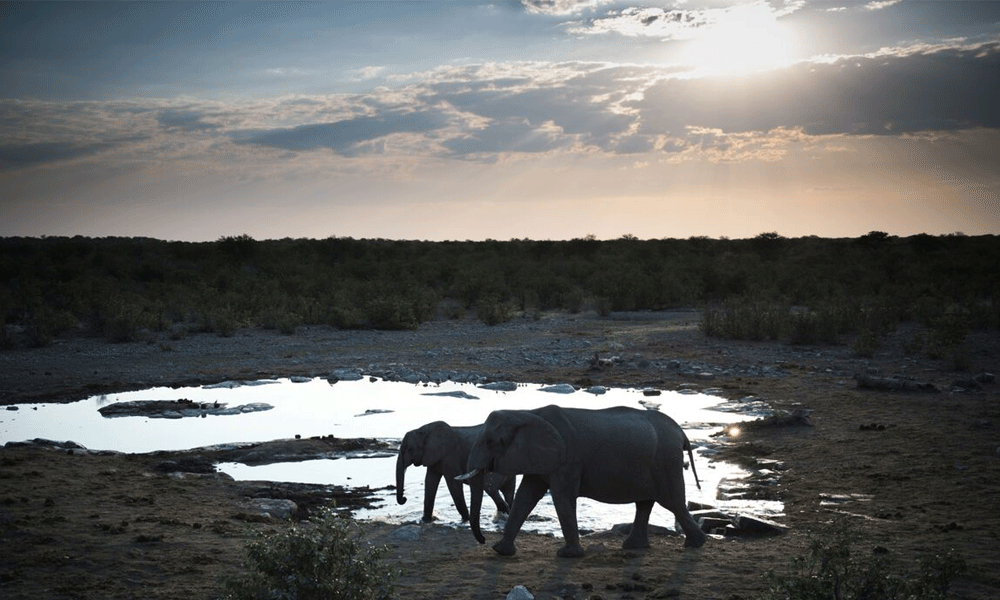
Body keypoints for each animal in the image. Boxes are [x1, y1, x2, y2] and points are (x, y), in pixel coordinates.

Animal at [458, 404, 708, 556]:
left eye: (491, 441)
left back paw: (697, 543)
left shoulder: (568, 459)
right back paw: (635, 547)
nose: (482, 540)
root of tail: (681, 433)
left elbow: (561, 497)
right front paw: (500, 551)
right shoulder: (542, 458)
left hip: (665, 461)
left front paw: (568, 555)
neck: (527, 412)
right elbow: (526, 496)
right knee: (645, 502)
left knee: (672, 501)